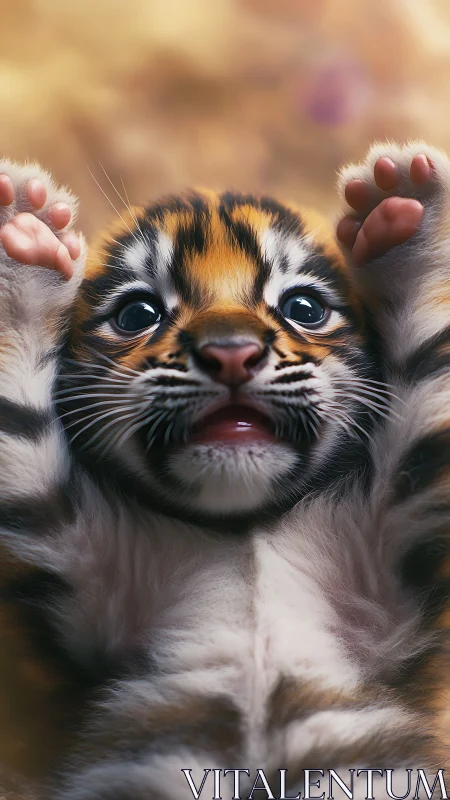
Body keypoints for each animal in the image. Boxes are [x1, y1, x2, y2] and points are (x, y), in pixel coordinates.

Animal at [0, 142, 449, 800]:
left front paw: (405, 213)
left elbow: (430, 364)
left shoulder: (391, 521)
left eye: (303, 308)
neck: (241, 532)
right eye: (138, 313)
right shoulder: (77, 553)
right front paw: (23, 243)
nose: (231, 352)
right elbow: (17, 424)